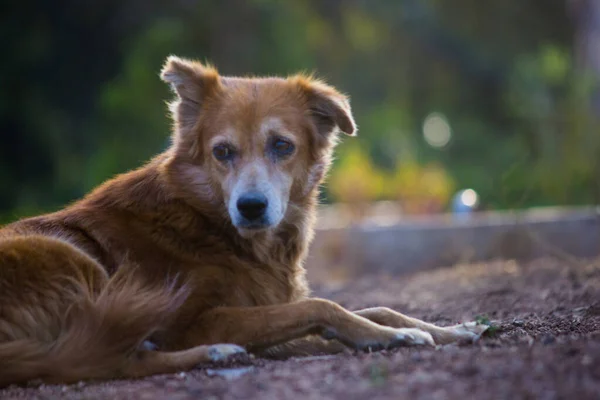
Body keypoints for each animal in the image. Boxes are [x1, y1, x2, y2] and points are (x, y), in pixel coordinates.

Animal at [0, 56, 488, 384]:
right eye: (222, 151)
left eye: (282, 146)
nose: (250, 206)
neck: (208, 221)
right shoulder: (192, 321)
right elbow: (321, 306)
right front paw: (396, 337)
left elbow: (374, 308)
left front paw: (451, 329)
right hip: (73, 261)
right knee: (105, 359)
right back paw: (216, 352)